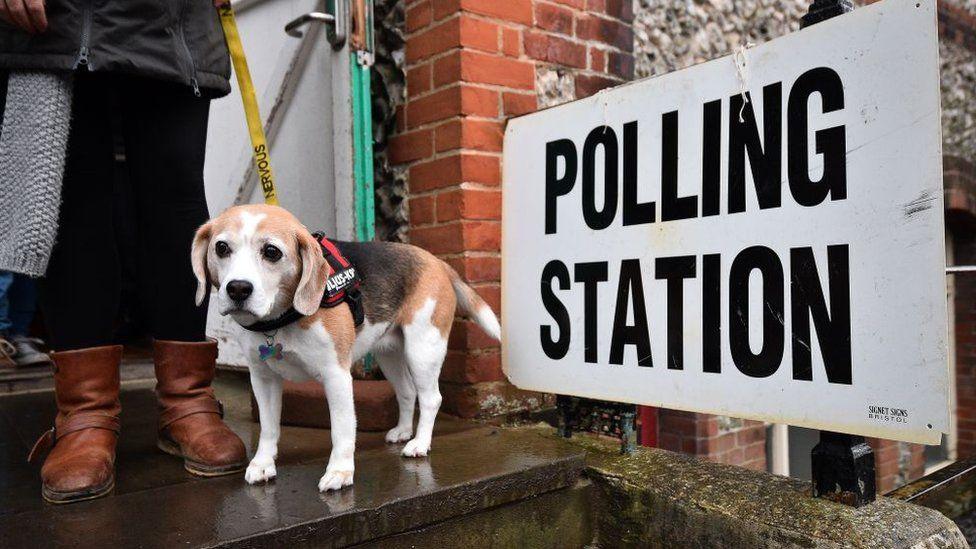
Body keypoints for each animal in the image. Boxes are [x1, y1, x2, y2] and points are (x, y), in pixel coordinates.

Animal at [189, 203, 504, 490]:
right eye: (221, 248)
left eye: (272, 252)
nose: (238, 289)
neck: (281, 319)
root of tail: (436, 261)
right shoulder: (263, 377)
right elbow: (268, 427)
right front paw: (263, 463)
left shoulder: (336, 375)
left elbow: (341, 429)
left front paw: (340, 472)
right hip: (389, 354)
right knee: (407, 392)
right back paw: (403, 431)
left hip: (423, 349)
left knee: (431, 398)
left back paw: (419, 443)